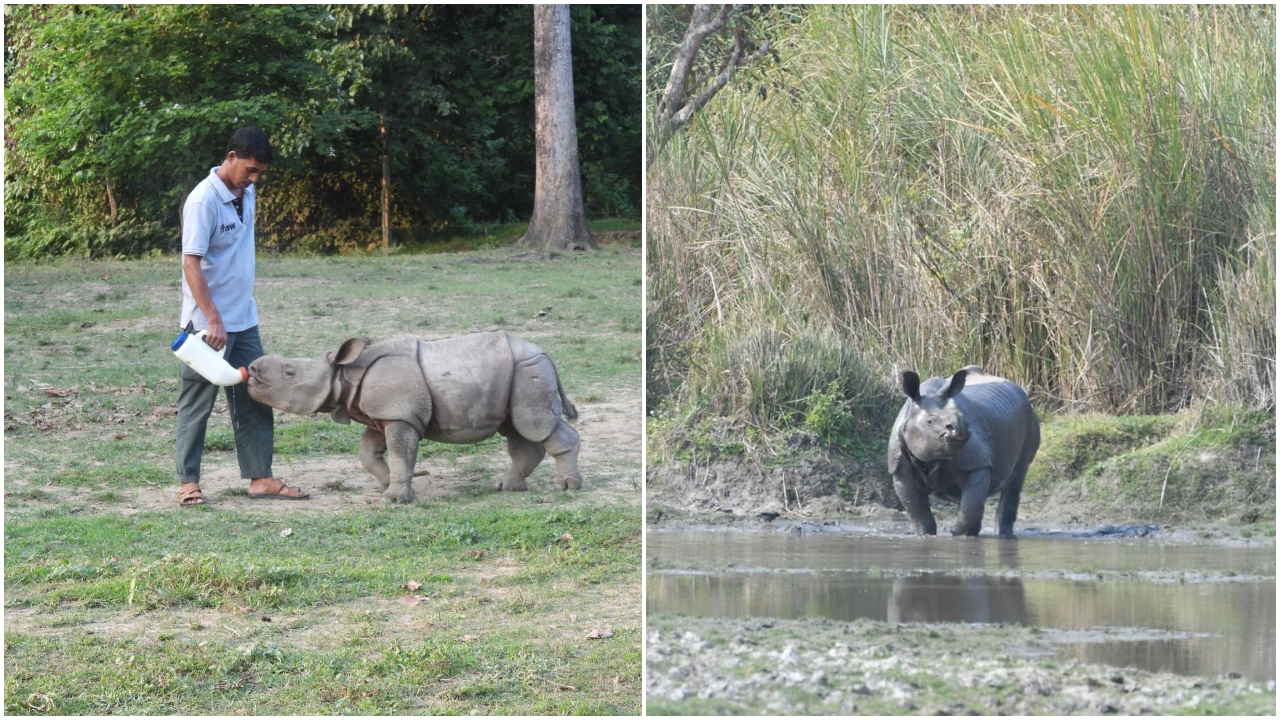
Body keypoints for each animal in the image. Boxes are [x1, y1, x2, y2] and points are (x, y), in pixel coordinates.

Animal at [246, 331, 582, 504]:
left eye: (289, 373)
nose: (251, 369)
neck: (344, 374)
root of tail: (546, 352)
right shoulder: (382, 415)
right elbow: (369, 455)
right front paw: (386, 486)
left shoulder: (399, 416)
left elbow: (400, 454)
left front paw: (395, 499)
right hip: (516, 375)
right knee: (517, 428)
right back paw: (508, 488)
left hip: (529, 369)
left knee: (535, 424)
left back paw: (567, 487)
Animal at [887, 366, 1039, 538]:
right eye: (929, 421)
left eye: (962, 417)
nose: (960, 428)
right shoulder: (899, 469)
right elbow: (919, 514)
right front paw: (925, 536)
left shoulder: (977, 463)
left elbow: (971, 509)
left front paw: (961, 536)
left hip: (1030, 418)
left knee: (1015, 481)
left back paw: (1004, 537)